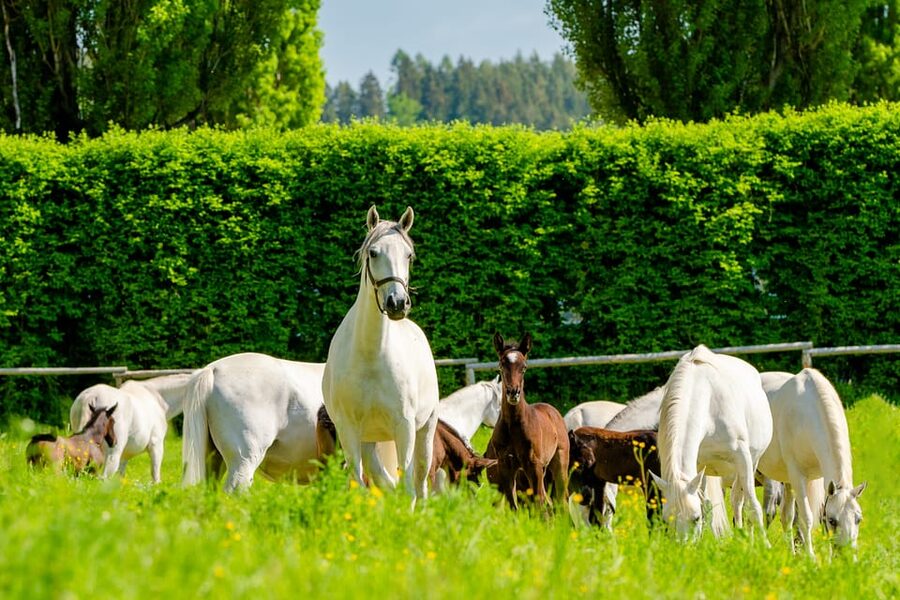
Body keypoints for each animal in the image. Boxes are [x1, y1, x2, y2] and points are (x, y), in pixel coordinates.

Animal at [322, 206, 439, 502]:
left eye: (409, 255)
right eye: (373, 253)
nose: (397, 303)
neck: (371, 356)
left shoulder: (405, 426)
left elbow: (409, 485)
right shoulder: (349, 430)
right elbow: (359, 483)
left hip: (425, 430)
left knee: (420, 481)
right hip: (368, 441)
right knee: (383, 480)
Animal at [485, 332, 569, 509]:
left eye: (524, 367)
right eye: (501, 365)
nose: (513, 393)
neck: (513, 425)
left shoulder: (533, 465)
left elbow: (539, 503)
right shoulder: (505, 466)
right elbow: (513, 504)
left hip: (559, 463)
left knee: (561, 499)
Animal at [649, 345, 772, 542]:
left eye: (695, 518)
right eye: (667, 520)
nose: (682, 547)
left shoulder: (743, 458)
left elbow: (752, 506)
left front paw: (764, 545)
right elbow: (706, 506)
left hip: (752, 462)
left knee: (738, 500)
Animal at [757, 368, 866, 557]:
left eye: (858, 519)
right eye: (833, 520)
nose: (846, 558)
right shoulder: (798, 476)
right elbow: (806, 518)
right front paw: (811, 557)